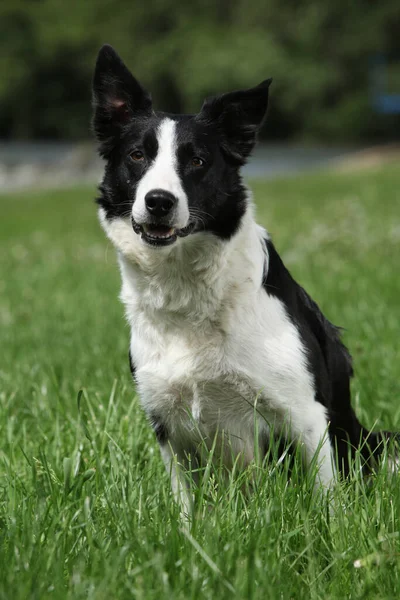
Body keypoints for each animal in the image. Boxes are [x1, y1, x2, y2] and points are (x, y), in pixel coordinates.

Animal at [92, 43, 396, 510]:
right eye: (137, 156)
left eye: (197, 160)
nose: (159, 201)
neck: (189, 288)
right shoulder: (167, 423)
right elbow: (185, 509)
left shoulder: (306, 413)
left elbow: (326, 501)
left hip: (378, 443)